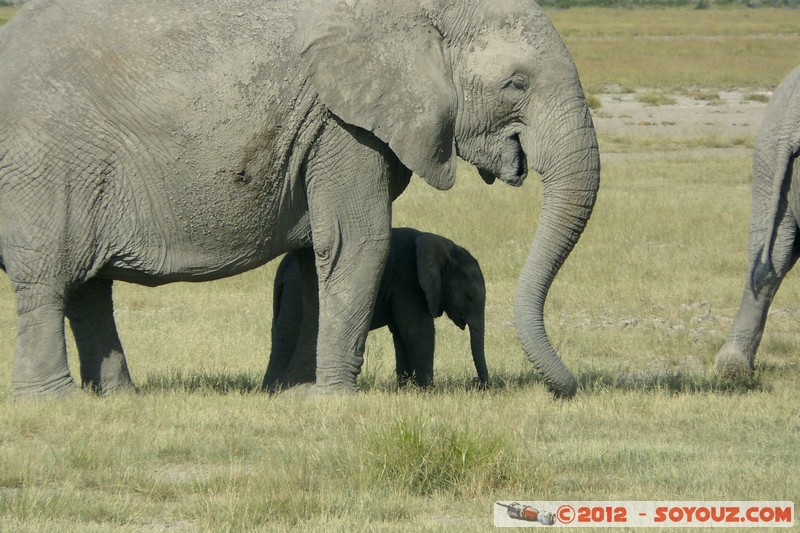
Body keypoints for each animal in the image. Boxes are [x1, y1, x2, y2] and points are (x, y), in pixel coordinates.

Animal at [262, 228, 488, 390]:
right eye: (469, 297)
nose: (476, 382)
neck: (447, 247)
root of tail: (282, 270)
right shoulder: (408, 281)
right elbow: (418, 331)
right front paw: (428, 390)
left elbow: (400, 333)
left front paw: (406, 388)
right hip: (298, 293)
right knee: (289, 335)